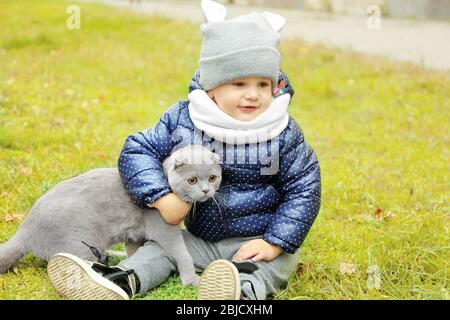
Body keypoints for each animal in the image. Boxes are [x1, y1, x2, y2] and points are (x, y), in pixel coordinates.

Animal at [0, 145, 222, 284]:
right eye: (192, 180)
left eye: (212, 178)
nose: (205, 191)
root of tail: (25, 228)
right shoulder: (164, 229)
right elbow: (182, 254)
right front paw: (191, 280)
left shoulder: (135, 236)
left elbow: (134, 251)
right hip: (83, 244)